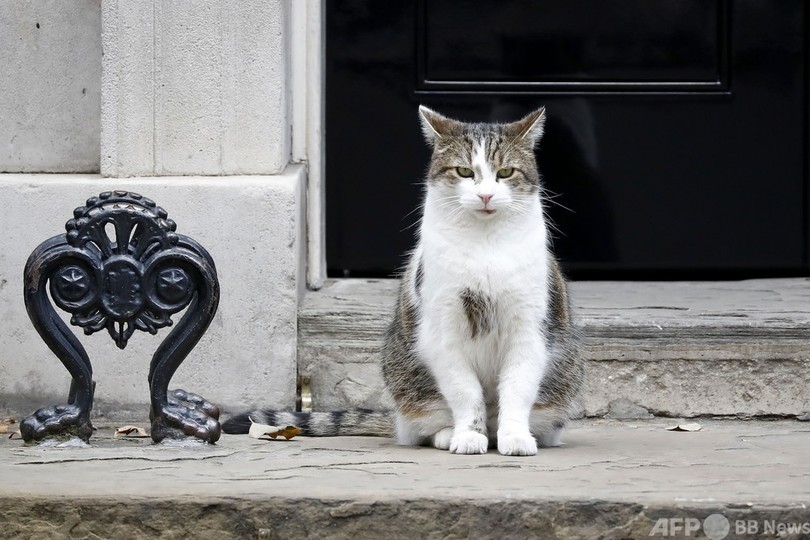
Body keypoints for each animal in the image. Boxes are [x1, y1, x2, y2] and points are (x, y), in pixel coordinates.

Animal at [224, 105, 584, 456]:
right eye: (464, 172)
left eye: (506, 173)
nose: (485, 196)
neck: (485, 246)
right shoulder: (442, 331)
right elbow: (465, 392)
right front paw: (468, 436)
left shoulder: (529, 330)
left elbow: (518, 389)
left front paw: (516, 437)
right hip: (407, 377)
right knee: (420, 425)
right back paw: (448, 434)